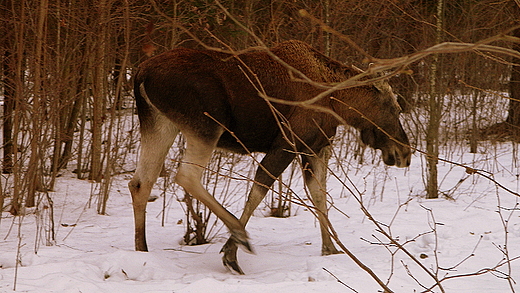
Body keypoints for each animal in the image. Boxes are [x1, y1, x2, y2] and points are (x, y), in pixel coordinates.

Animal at [129, 40, 410, 274]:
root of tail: (141, 74)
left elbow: (319, 195)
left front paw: (330, 249)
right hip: (206, 126)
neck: (337, 102)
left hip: (160, 123)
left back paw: (142, 250)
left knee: (141, 182)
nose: (405, 153)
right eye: (395, 107)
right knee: (186, 176)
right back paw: (239, 233)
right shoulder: (287, 143)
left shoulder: (313, 148)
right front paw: (230, 253)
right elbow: (259, 190)